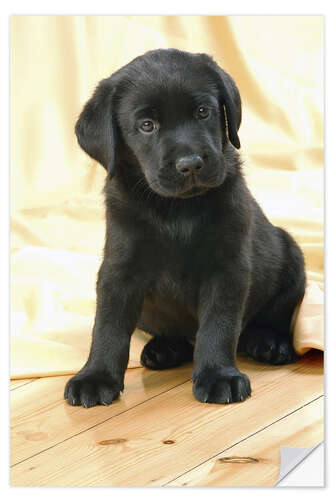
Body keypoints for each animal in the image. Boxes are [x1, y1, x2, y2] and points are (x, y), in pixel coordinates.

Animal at [63, 47, 304, 406]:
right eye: (147, 125)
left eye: (203, 112)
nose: (190, 164)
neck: (176, 209)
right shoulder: (119, 268)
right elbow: (108, 325)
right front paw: (95, 376)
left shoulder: (228, 267)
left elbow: (219, 324)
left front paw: (219, 375)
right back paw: (164, 348)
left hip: (291, 256)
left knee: (270, 317)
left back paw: (269, 342)